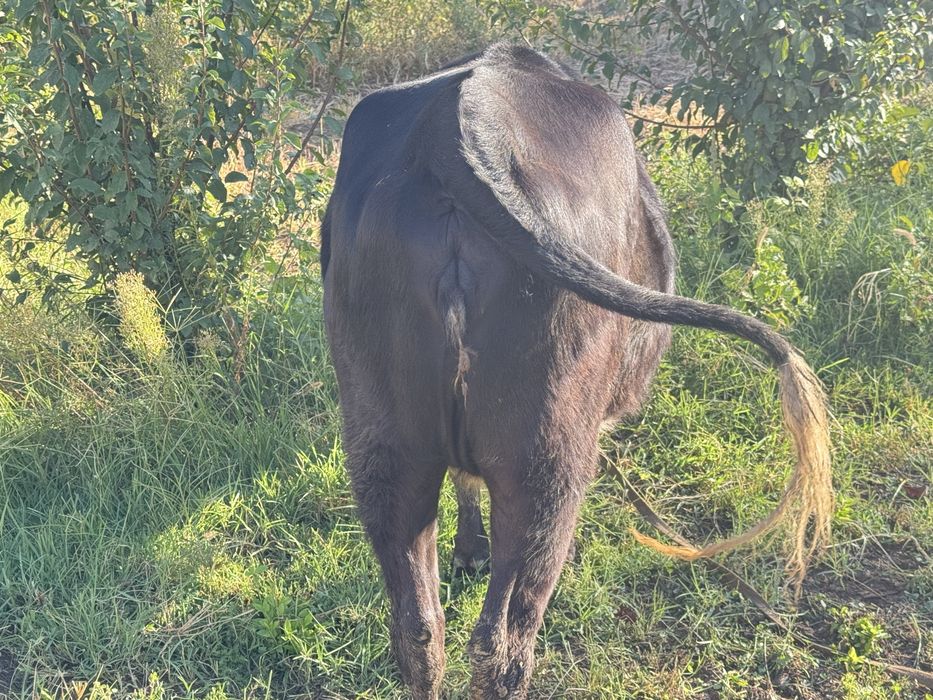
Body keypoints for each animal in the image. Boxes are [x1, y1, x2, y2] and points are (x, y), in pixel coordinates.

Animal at [320, 43, 833, 699]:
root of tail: (454, 124)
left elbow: (464, 487)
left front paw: (468, 551)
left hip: (383, 442)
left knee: (418, 626)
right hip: (549, 459)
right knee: (503, 640)